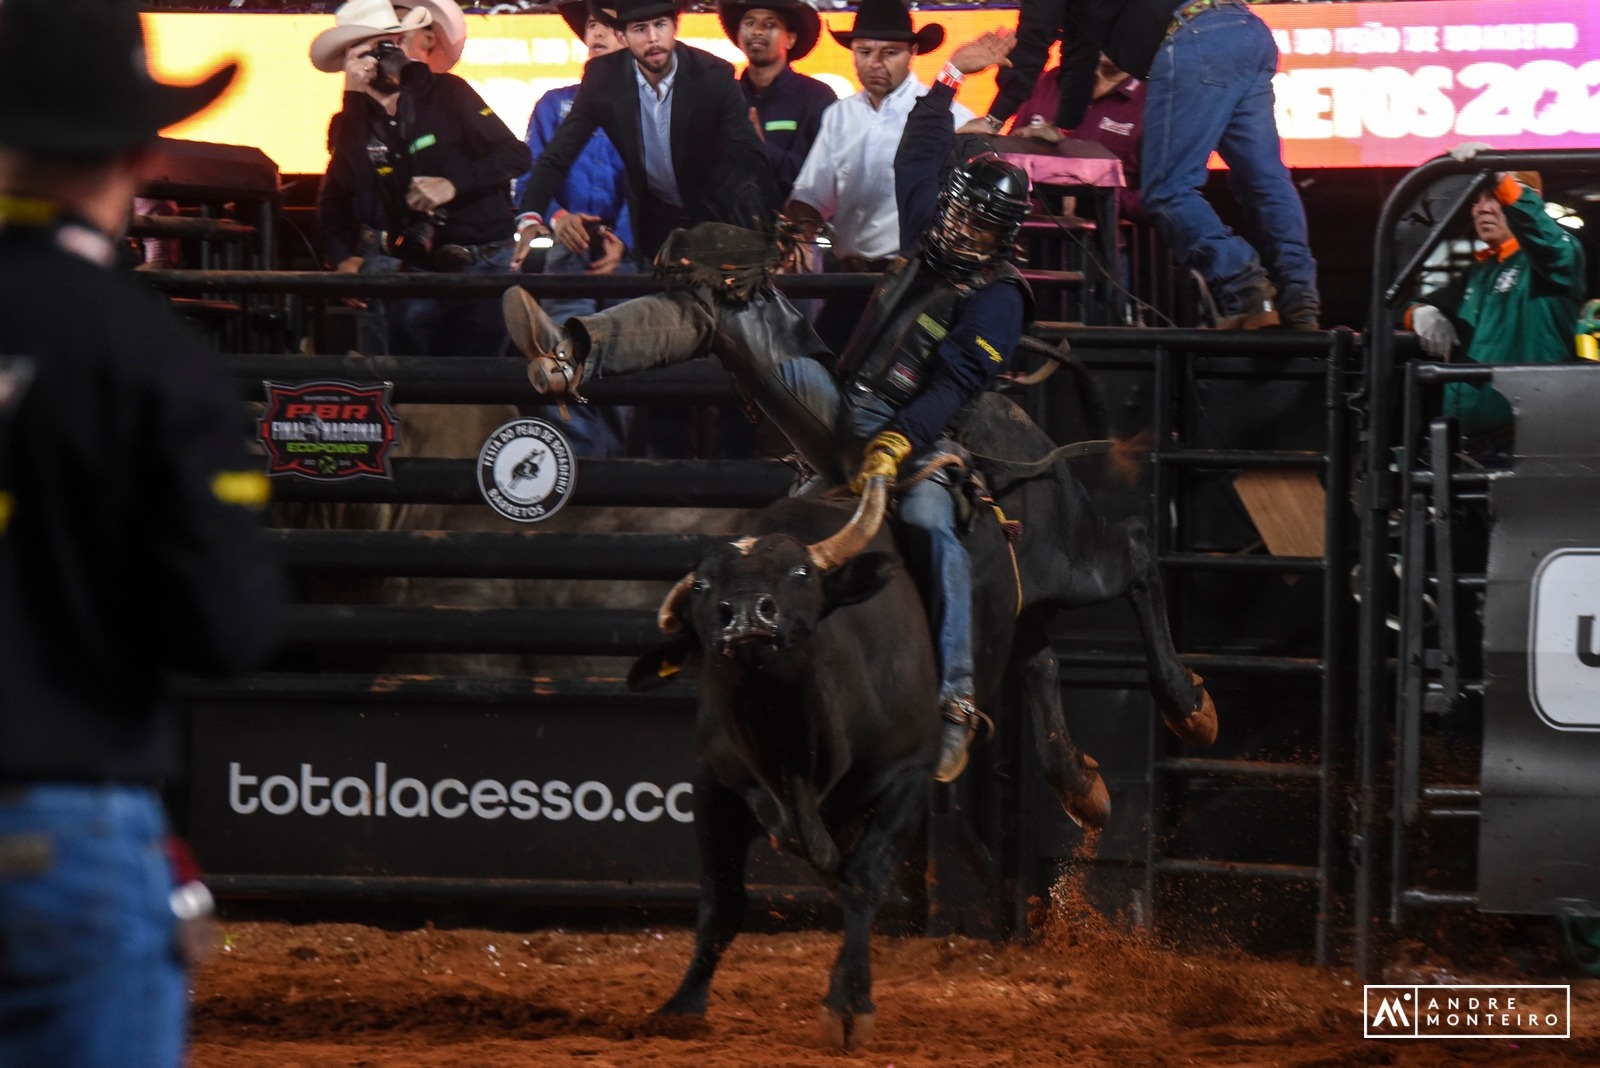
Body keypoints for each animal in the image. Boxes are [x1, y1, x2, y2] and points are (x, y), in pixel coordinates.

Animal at [624, 388, 1209, 1048]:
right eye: (702, 587)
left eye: (801, 574)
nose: (748, 614)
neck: (791, 738)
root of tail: (999, 408)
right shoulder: (716, 785)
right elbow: (724, 898)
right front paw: (682, 1004)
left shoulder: (906, 778)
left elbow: (863, 880)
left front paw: (848, 1005)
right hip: (1015, 602)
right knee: (1039, 659)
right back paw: (1080, 785)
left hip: (1072, 555)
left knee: (1135, 550)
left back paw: (1187, 706)